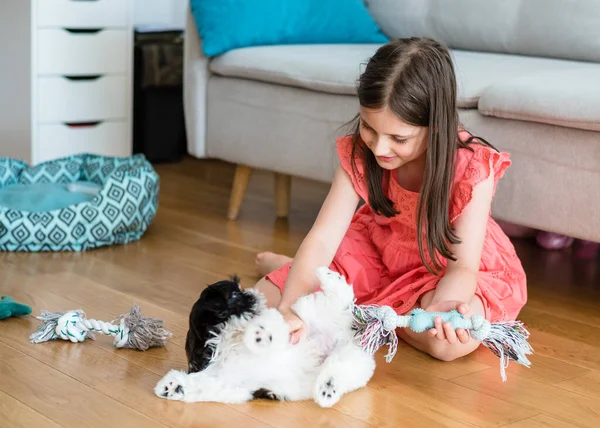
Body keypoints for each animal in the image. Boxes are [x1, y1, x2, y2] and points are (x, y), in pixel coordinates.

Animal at [157, 268, 378, 408]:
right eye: (234, 295)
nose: (252, 293)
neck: (230, 339)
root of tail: (347, 331)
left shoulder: (279, 323)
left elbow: (270, 326)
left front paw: (259, 333)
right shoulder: (227, 380)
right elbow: (204, 385)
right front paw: (173, 387)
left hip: (313, 311)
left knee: (341, 299)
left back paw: (328, 276)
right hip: (352, 358)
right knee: (339, 371)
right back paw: (327, 390)